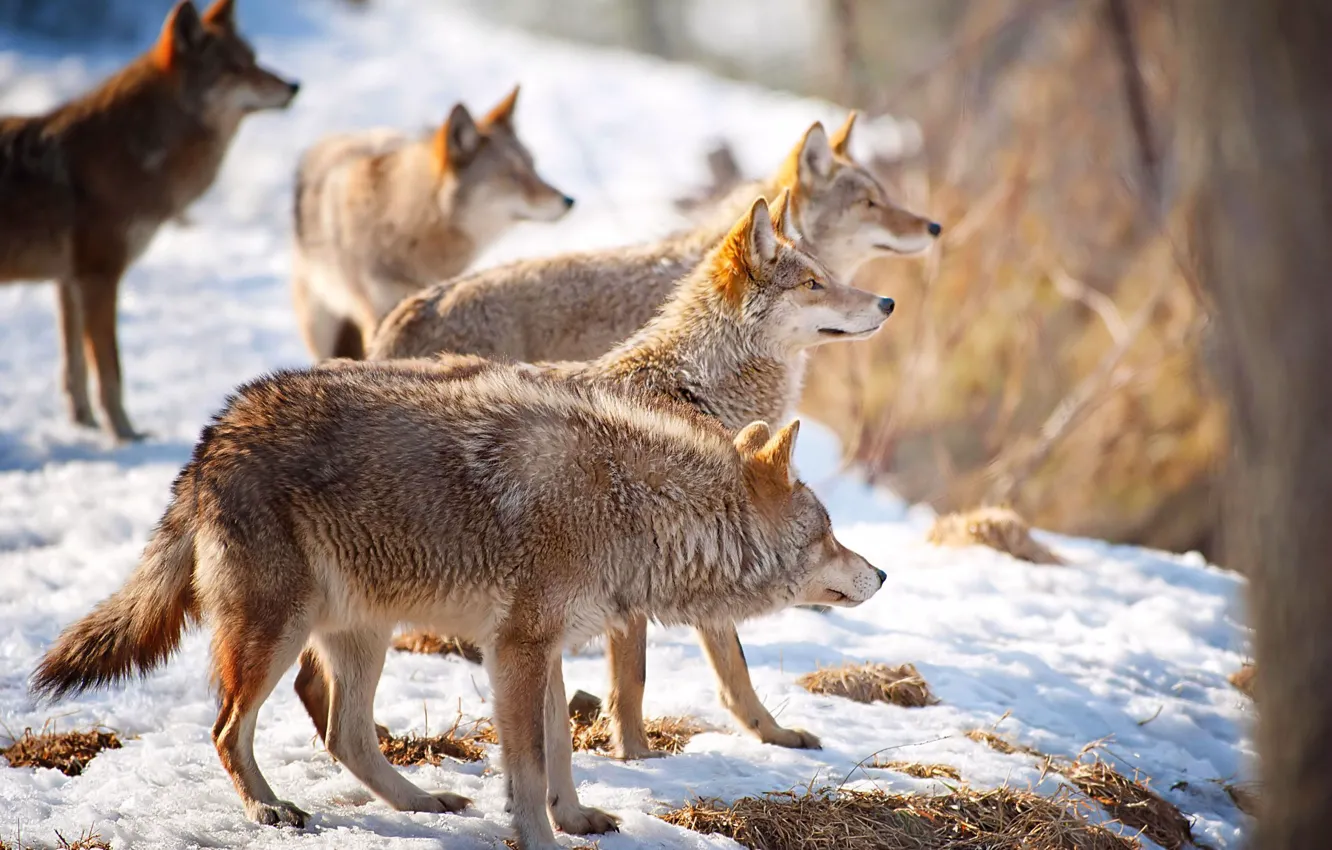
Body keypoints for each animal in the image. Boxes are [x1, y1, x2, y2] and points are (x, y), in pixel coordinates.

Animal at [0, 0, 298, 440]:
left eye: (254, 60)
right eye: (236, 68)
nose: (294, 86)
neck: (133, 152)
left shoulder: (68, 281)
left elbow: (74, 369)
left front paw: (84, 427)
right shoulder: (98, 276)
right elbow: (110, 369)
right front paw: (124, 434)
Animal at [31, 362, 883, 850]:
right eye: (830, 533)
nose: (879, 572)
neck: (631, 504)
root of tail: (211, 437)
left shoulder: (543, 651)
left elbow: (560, 754)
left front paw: (577, 821)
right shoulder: (518, 652)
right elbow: (529, 768)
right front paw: (541, 840)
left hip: (362, 635)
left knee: (346, 736)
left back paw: (424, 801)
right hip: (277, 634)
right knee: (227, 731)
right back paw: (269, 812)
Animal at [303, 192, 893, 758]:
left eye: (828, 273)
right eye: (814, 283)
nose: (887, 302)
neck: (689, 390)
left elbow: (734, 672)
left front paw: (774, 736)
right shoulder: (645, 577)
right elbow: (636, 681)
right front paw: (635, 755)